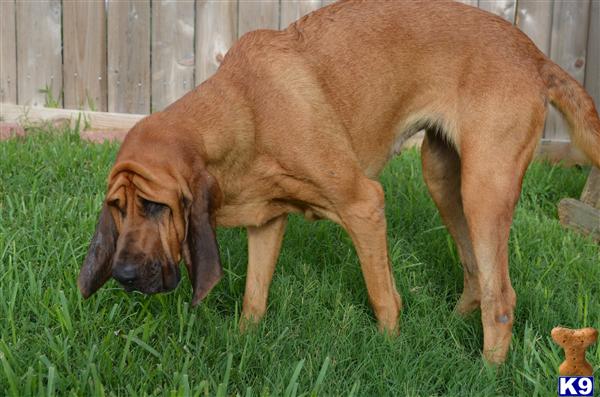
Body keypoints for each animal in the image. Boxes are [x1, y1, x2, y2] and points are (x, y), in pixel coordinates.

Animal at [76, 0, 600, 364]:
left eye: (156, 206)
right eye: (117, 208)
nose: (123, 276)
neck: (245, 112)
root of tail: (536, 57)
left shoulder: (364, 205)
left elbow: (383, 298)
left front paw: (391, 353)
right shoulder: (267, 223)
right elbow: (253, 299)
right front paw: (243, 347)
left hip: (484, 190)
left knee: (502, 297)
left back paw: (487, 371)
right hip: (445, 178)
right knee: (476, 274)